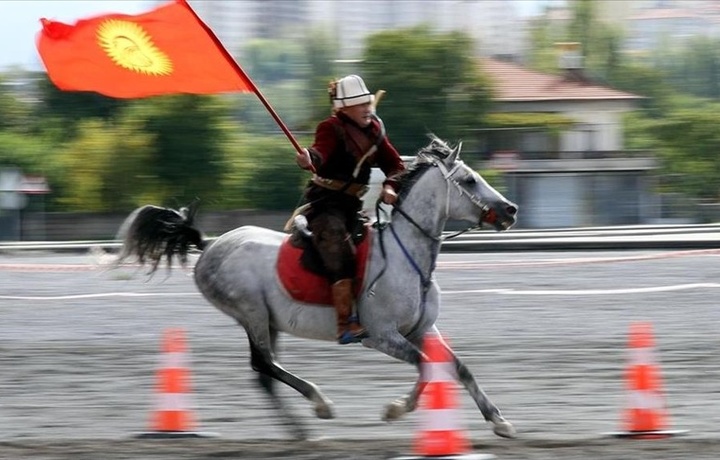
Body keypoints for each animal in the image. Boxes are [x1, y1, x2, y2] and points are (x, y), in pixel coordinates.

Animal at [116, 137, 516, 438]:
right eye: (469, 181)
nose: (510, 210)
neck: (408, 256)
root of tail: (209, 245)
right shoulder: (381, 336)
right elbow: (426, 367)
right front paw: (395, 410)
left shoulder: (422, 329)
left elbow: (458, 367)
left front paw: (500, 421)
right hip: (251, 313)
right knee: (264, 363)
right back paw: (319, 406)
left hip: (268, 321)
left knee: (264, 374)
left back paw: (301, 430)